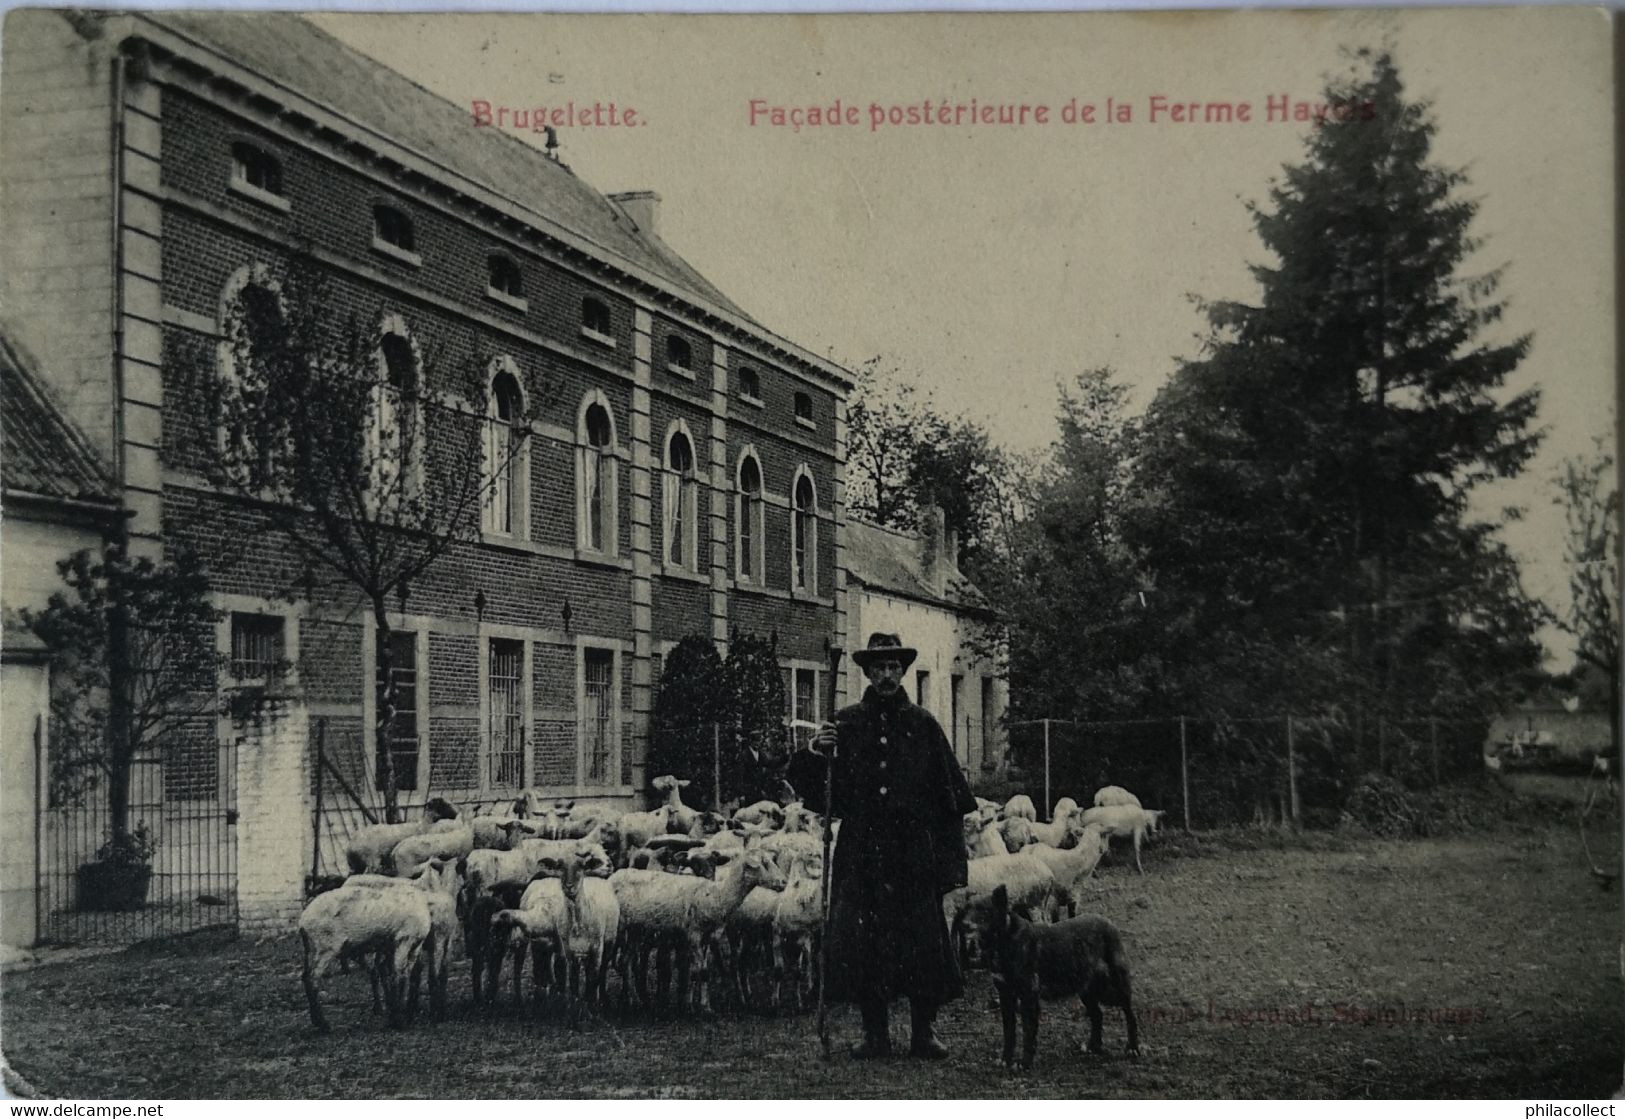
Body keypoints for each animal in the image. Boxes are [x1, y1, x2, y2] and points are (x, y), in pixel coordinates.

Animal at [295, 870, 429, 1032]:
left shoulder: (408, 946)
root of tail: (303, 920)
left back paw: (316, 1020)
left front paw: (396, 1015)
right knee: (312, 978)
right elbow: (399, 976)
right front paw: (399, 1020)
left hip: (310, 948)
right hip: (325, 946)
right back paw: (323, 1024)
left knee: (305, 976)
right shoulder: (404, 940)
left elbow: (401, 975)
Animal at [981, 877, 1137, 1071]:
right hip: (1086, 989)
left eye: (986, 913)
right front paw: (1005, 1060)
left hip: (1115, 987)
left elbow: (1028, 1034)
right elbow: (1009, 1033)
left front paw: (1024, 1063)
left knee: (1130, 1014)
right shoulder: (1006, 996)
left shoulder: (1029, 998)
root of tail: (1109, 924)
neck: (1006, 938)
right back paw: (1093, 1046)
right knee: (1097, 1015)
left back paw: (1133, 1047)